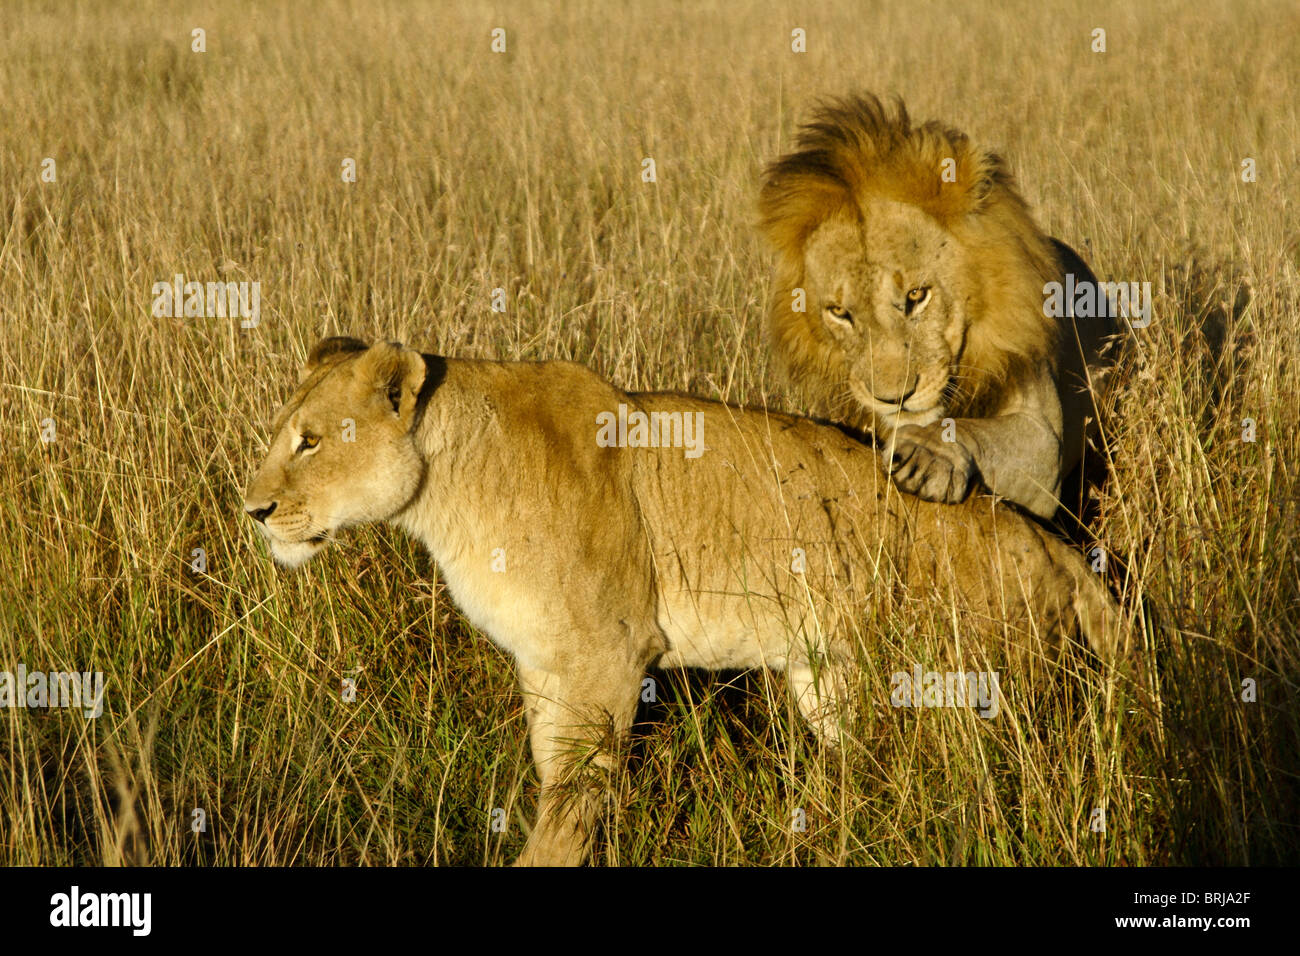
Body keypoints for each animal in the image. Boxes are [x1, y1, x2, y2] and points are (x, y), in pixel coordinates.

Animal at [244, 336, 1121, 865]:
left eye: (310, 441)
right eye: (283, 432)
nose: (252, 509)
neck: (448, 485)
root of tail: (1055, 545)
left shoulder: (604, 654)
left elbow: (574, 798)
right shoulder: (546, 663)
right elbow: (559, 779)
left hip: (968, 680)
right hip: (830, 675)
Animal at [759, 93, 1122, 519]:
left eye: (917, 296)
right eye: (840, 313)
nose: (893, 400)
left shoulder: (1044, 441)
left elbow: (972, 428)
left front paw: (926, 453)